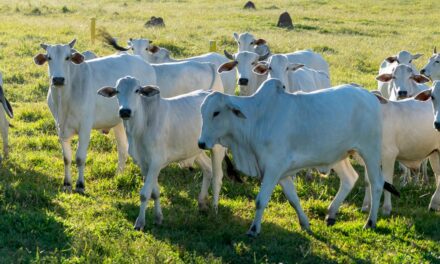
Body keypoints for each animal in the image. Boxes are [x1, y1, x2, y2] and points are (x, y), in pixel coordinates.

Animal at [34, 39, 158, 193]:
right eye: (49, 57)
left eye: (67, 57)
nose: (58, 79)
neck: (64, 99)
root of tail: (143, 62)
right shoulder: (60, 128)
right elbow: (67, 158)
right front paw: (67, 184)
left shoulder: (85, 127)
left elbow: (80, 157)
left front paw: (80, 185)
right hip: (119, 122)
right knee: (122, 149)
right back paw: (118, 175)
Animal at [98, 76, 225, 231]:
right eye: (117, 91)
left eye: (137, 90)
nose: (125, 111)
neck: (140, 128)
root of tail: (213, 93)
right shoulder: (144, 163)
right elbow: (154, 192)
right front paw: (158, 218)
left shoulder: (156, 162)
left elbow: (145, 194)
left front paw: (140, 222)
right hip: (194, 149)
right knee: (208, 169)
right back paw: (201, 203)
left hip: (218, 147)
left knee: (217, 178)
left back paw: (214, 210)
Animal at [198, 79, 398, 237]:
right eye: (202, 112)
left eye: (216, 112)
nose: (201, 143)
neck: (257, 119)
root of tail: (368, 94)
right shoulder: (282, 174)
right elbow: (293, 200)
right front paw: (305, 224)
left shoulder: (273, 169)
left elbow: (260, 200)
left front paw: (254, 229)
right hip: (340, 155)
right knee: (350, 178)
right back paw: (331, 214)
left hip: (370, 151)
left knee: (377, 183)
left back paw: (370, 222)